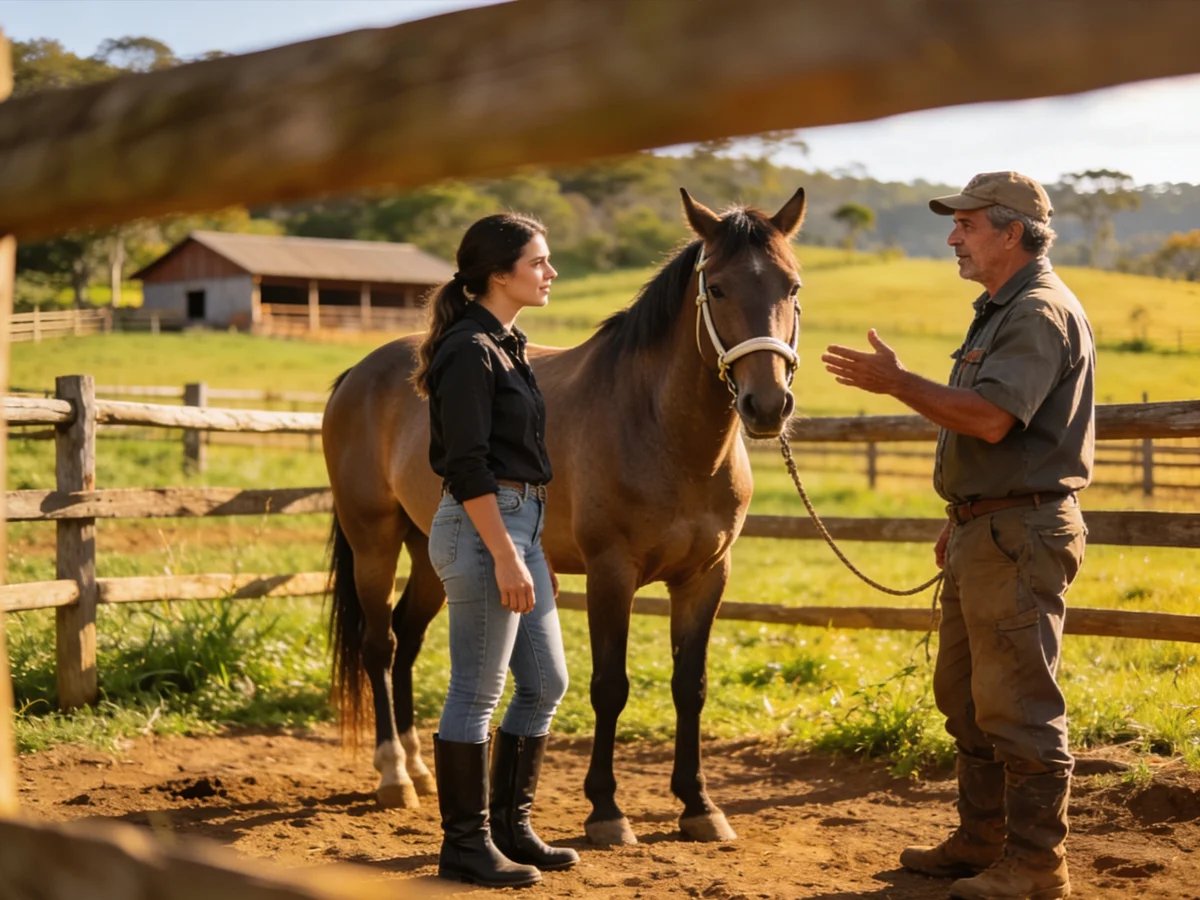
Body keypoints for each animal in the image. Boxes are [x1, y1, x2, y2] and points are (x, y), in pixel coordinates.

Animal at [323, 187, 806, 844]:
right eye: (720, 287)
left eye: (792, 286)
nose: (767, 405)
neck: (661, 429)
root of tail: (359, 373)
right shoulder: (611, 574)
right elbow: (609, 687)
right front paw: (606, 810)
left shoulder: (706, 577)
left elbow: (691, 687)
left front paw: (699, 805)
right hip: (373, 542)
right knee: (380, 644)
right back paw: (394, 775)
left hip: (432, 553)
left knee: (409, 636)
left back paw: (421, 768)